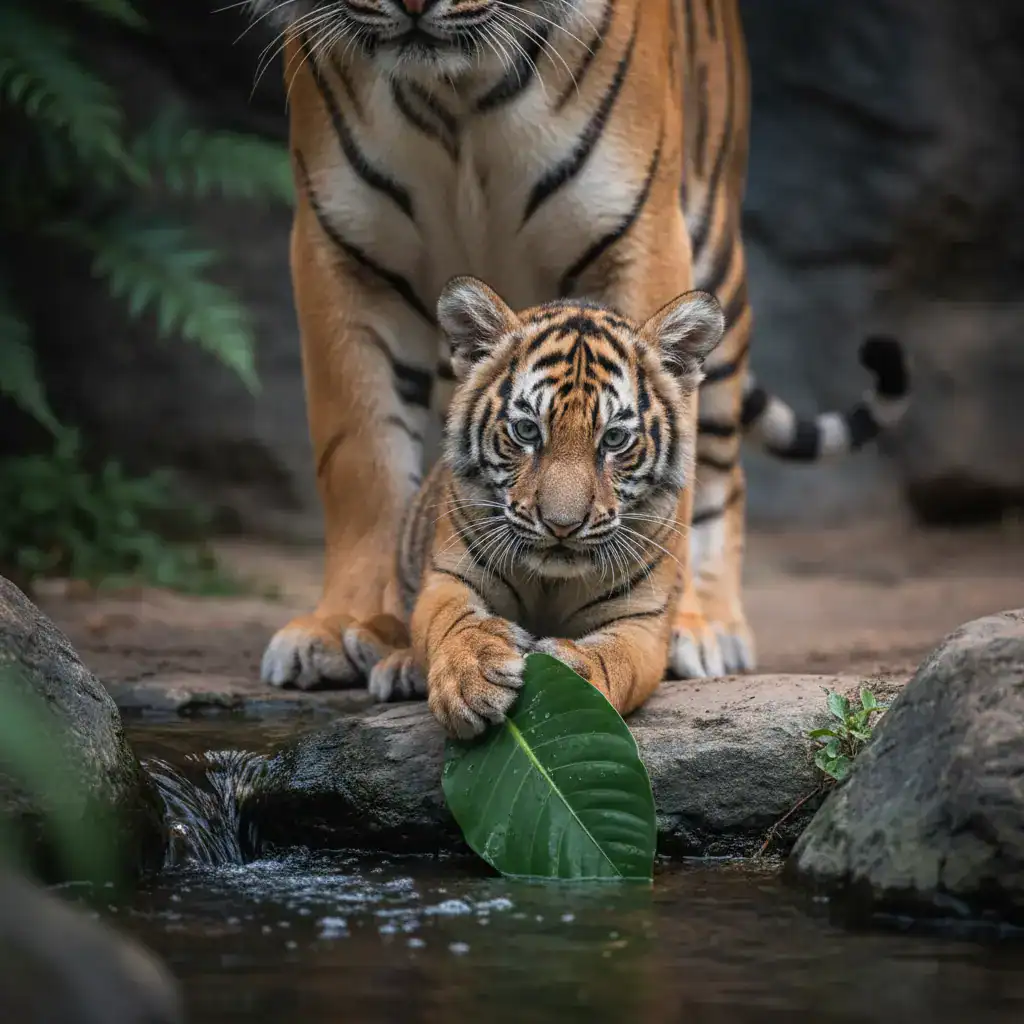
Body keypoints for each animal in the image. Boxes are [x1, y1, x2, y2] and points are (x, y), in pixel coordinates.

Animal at [247, 0, 910, 695]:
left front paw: (666, 617)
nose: (415, 5)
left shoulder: (643, 231)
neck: (456, 90)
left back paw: (705, 624)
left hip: (716, 248)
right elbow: (361, 460)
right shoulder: (340, 246)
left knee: (722, 470)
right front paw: (339, 626)